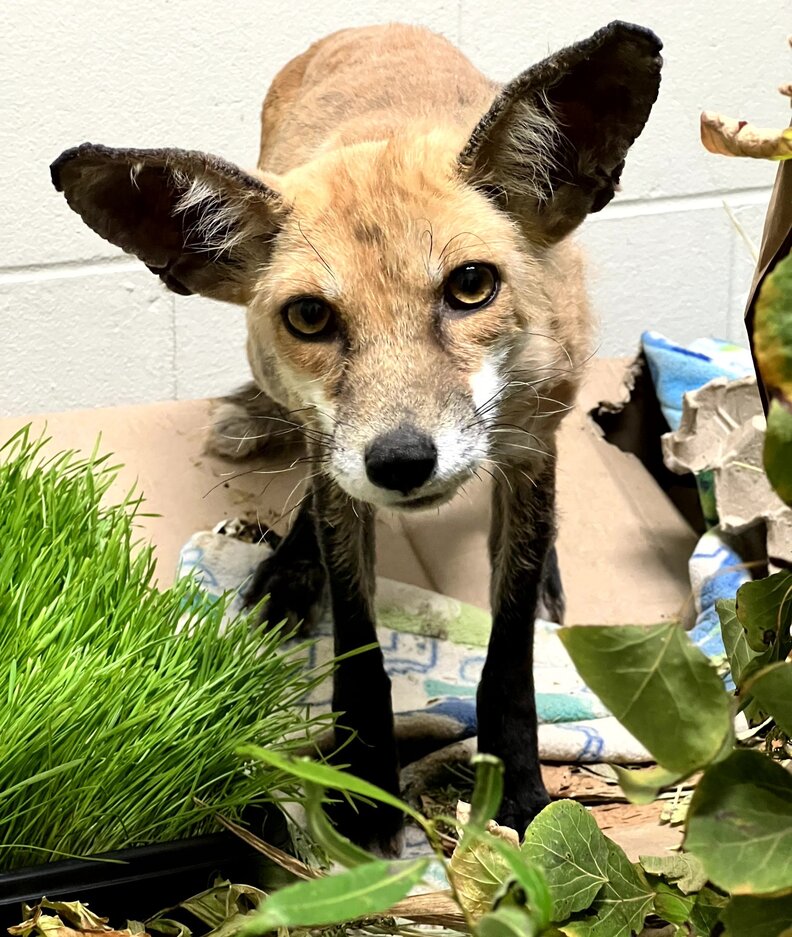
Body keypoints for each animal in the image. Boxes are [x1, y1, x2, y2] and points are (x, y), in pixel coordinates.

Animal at [51, 21, 662, 854]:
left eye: (472, 286)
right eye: (311, 316)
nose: (401, 461)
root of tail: (375, 27)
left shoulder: (532, 439)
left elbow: (508, 655)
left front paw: (519, 787)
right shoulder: (335, 455)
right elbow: (358, 638)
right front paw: (363, 785)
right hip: (297, 404)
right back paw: (289, 569)